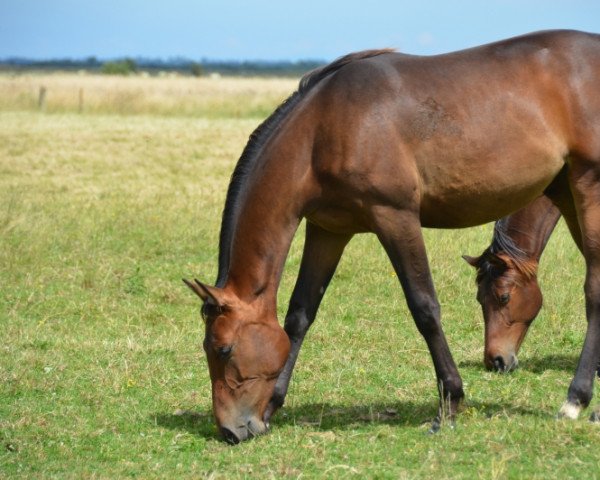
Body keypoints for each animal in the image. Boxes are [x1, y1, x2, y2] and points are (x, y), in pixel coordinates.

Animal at [185, 31, 600, 442]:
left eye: (222, 349)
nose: (230, 430)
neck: (323, 129)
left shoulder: (395, 217)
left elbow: (424, 308)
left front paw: (449, 404)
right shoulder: (328, 230)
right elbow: (300, 314)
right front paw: (272, 405)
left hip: (587, 187)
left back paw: (575, 400)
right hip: (565, 191)